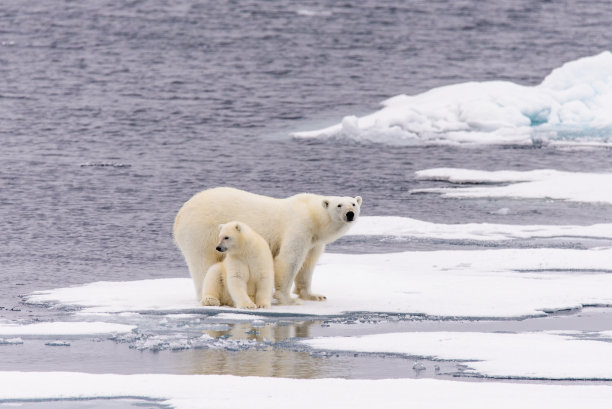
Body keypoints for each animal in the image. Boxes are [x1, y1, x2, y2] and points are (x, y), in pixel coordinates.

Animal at [173, 186, 364, 304]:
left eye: (354, 203)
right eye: (339, 205)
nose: (350, 214)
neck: (312, 213)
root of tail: (179, 215)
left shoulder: (314, 240)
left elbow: (308, 264)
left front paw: (314, 295)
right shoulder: (299, 226)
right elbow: (289, 260)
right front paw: (286, 298)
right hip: (203, 232)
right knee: (203, 263)